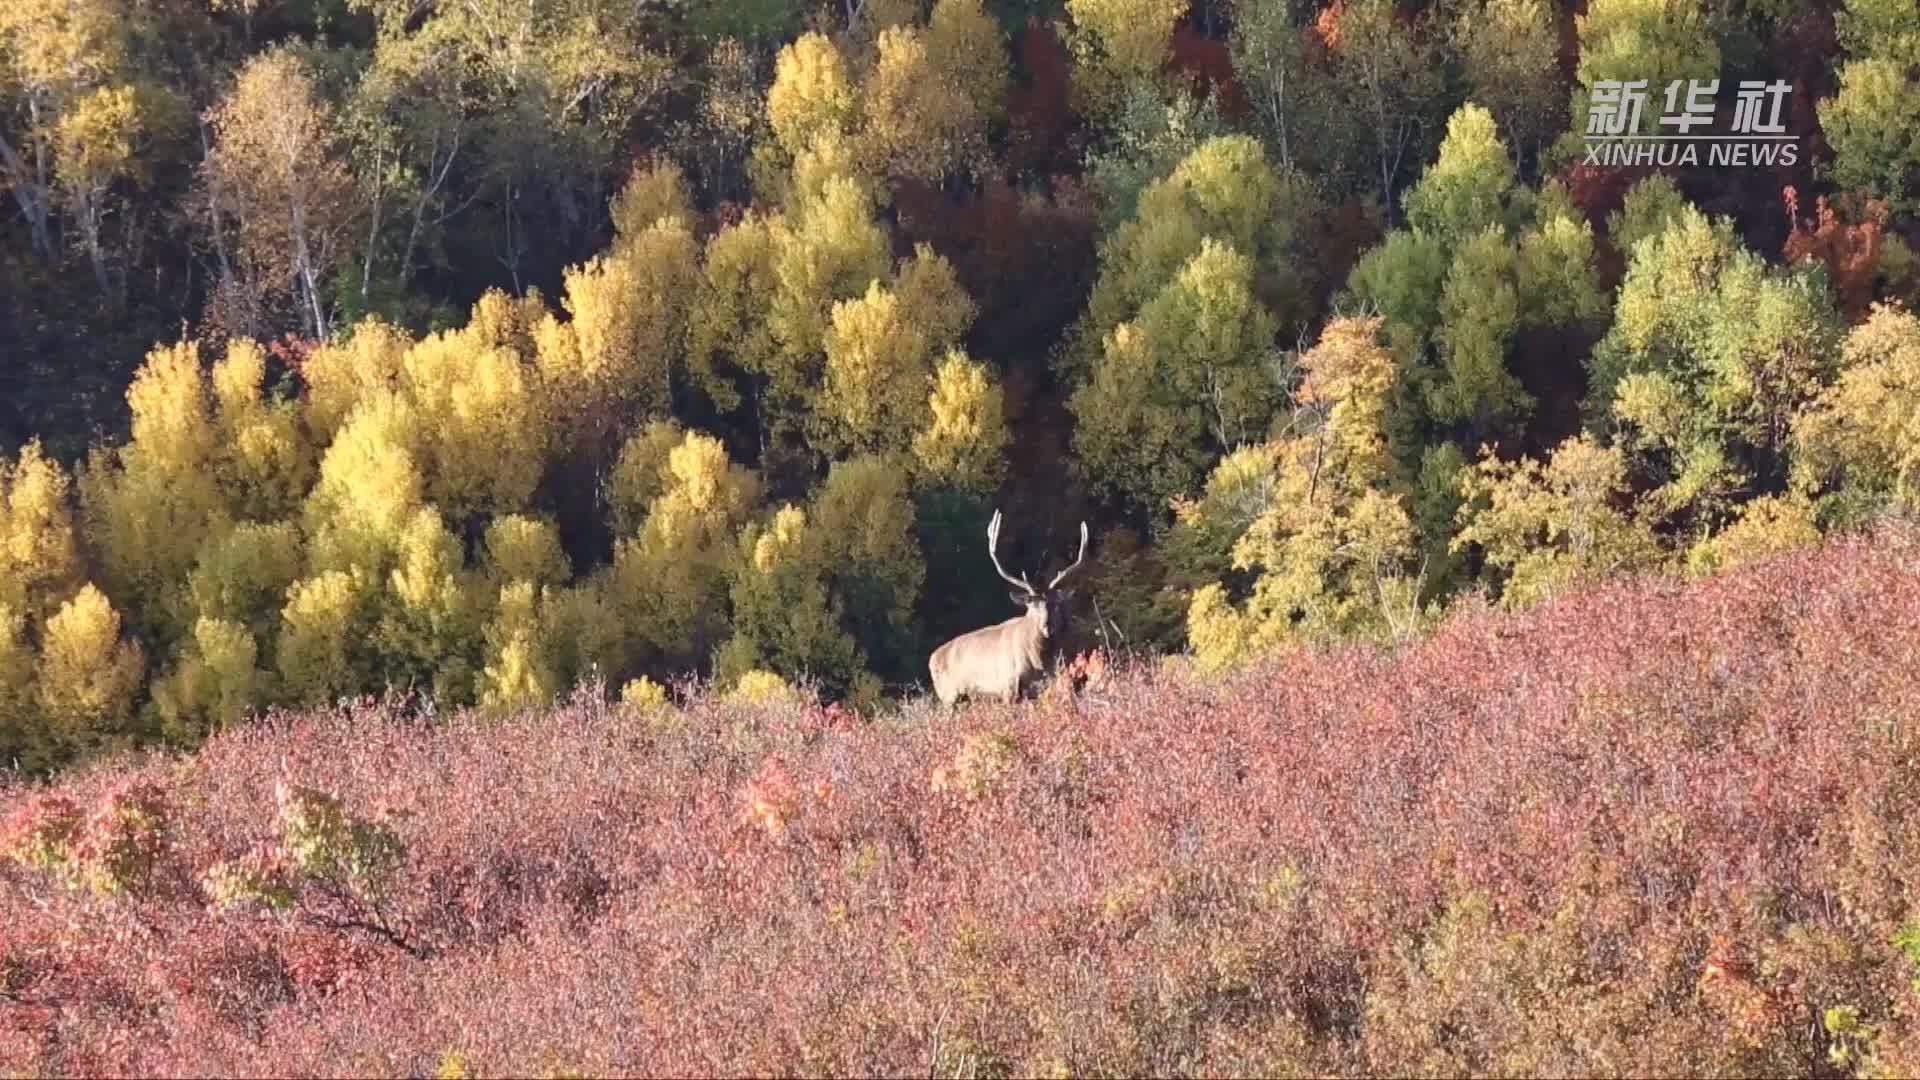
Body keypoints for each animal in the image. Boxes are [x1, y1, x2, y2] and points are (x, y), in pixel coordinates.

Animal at [925, 507, 1090, 703]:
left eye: (1055, 604)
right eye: (1031, 605)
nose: (1046, 626)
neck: (1037, 661)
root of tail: (932, 658)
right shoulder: (1008, 686)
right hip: (948, 695)